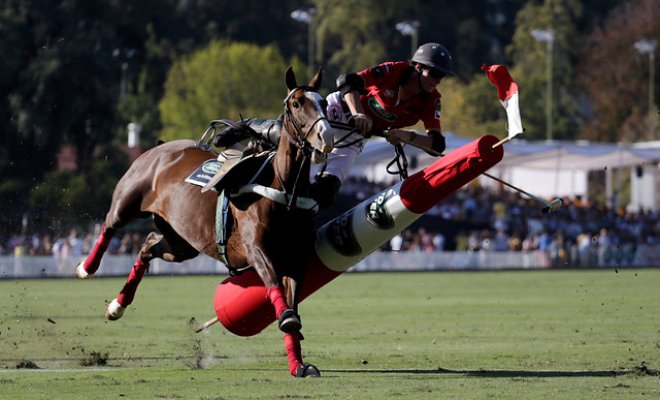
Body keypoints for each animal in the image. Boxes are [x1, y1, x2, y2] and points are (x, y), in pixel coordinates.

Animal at [75, 67, 332, 376]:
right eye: (296, 103)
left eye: (324, 103)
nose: (326, 136)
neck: (285, 191)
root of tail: (159, 148)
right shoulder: (258, 251)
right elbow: (276, 292)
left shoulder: (296, 259)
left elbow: (292, 306)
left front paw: (299, 365)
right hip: (127, 202)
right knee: (109, 227)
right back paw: (87, 268)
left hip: (181, 243)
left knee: (147, 245)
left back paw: (117, 305)